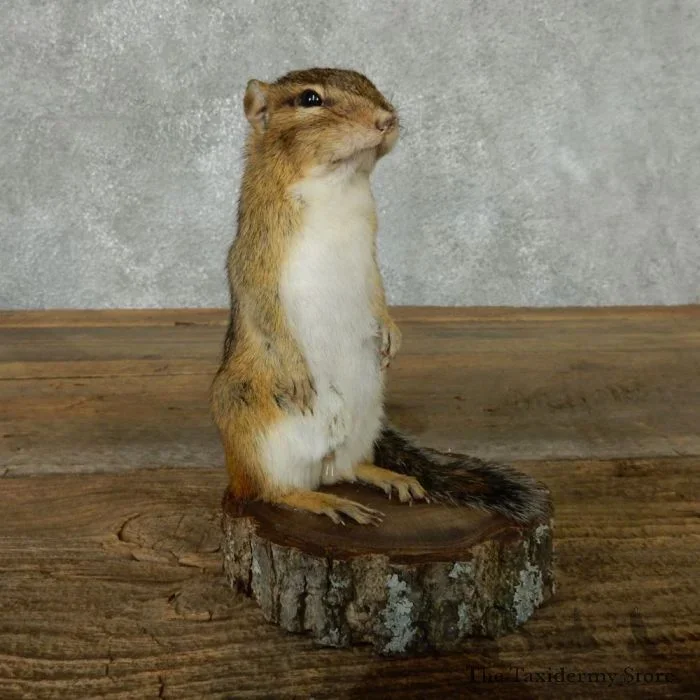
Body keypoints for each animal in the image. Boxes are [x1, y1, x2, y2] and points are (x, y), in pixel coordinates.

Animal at [211, 67, 550, 526]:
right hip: (258, 437)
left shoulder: (370, 249)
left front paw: (391, 330)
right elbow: (263, 306)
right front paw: (296, 369)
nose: (386, 120)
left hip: (365, 418)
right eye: (309, 99)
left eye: (369, 82)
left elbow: (377, 288)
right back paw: (320, 501)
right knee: (272, 491)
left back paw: (388, 477)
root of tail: (318, 466)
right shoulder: (255, 252)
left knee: (346, 468)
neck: (336, 183)